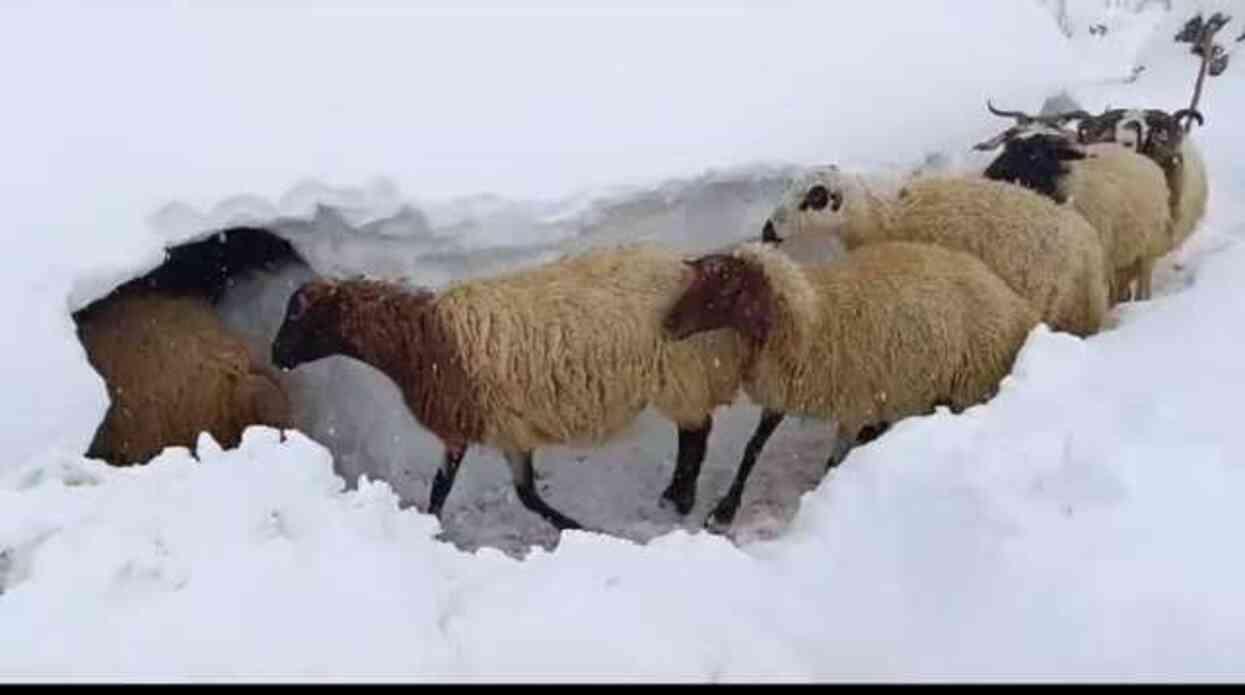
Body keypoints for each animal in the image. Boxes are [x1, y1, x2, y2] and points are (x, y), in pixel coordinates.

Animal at [270, 245, 747, 533]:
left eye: (296, 314)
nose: (274, 356)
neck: (419, 340)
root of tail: (685, 265)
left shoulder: (461, 425)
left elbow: (442, 488)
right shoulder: (508, 431)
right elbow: (526, 495)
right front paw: (574, 527)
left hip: (680, 373)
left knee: (697, 433)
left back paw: (680, 498)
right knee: (696, 430)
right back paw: (676, 496)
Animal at [667, 242, 1035, 535]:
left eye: (724, 289)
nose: (668, 323)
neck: (812, 318)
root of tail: (1012, 298)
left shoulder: (854, 401)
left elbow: (832, 463)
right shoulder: (786, 390)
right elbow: (752, 449)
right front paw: (723, 512)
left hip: (968, 384)